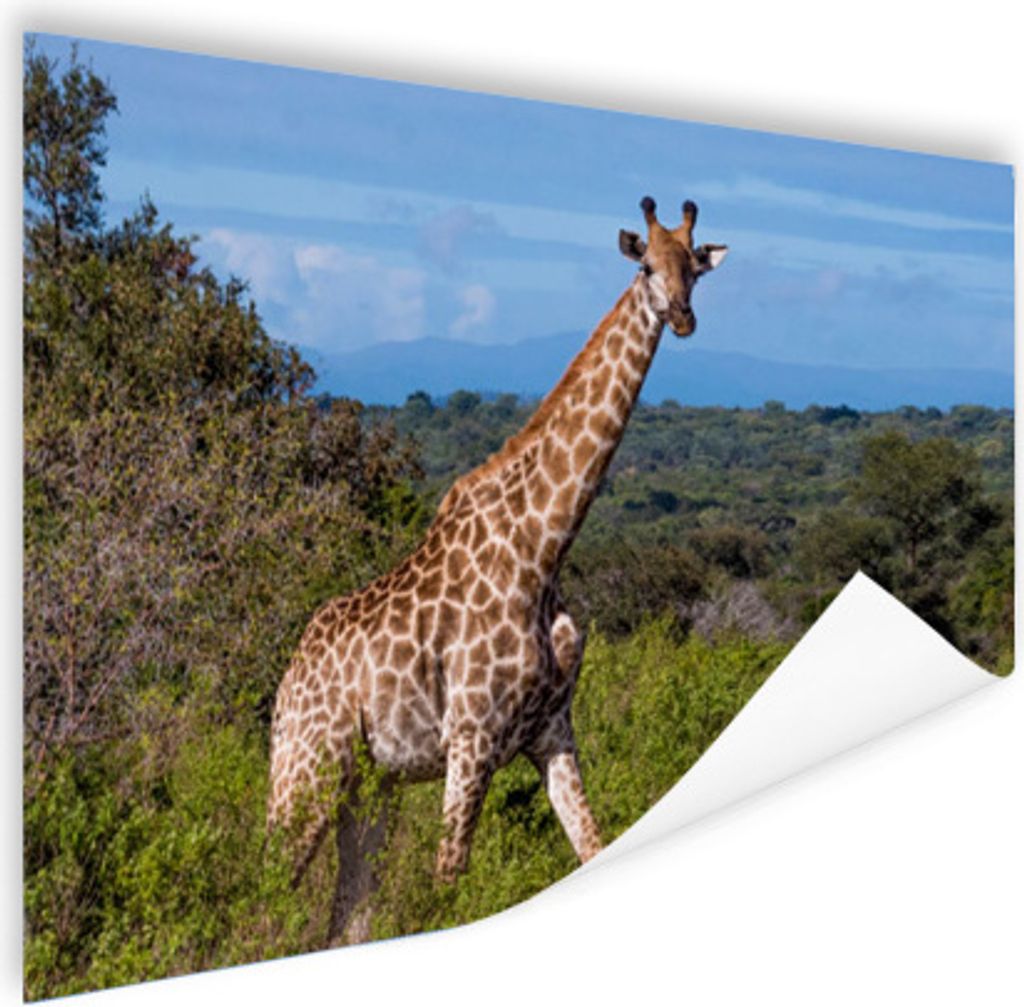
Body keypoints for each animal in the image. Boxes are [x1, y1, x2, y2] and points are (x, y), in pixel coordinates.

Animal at [267, 195, 728, 942]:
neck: (544, 548)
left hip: (370, 784)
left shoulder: (552, 730)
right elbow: (445, 887)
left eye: (695, 266)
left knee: (346, 912)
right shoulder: (472, 738)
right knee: (264, 885)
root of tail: (285, 685)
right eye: (646, 266)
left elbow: (591, 846)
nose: (682, 317)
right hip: (309, 767)